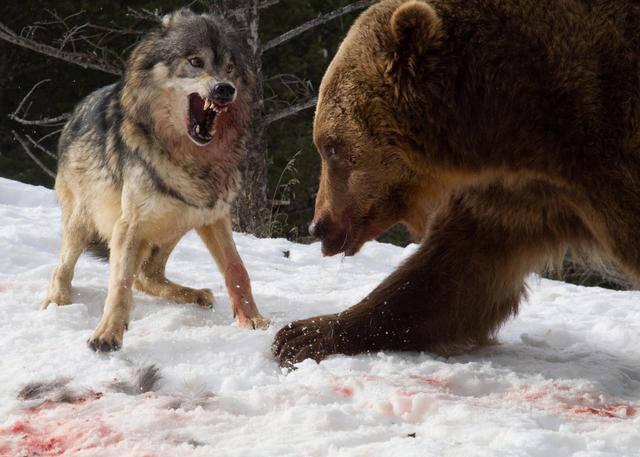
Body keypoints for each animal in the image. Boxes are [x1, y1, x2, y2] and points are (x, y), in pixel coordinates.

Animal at [44, 8, 270, 352]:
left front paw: (253, 320)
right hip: (86, 222)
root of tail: (74, 113)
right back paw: (57, 302)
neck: (192, 160)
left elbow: (237, 269)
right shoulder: (129, 225)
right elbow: (120, 283)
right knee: (64, 268)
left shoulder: (214, 216)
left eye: (230, 68)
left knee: (147, 275)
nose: (225, 89)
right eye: (195, 61)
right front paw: (107, 334)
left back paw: (196, 295)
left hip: (177, 222)